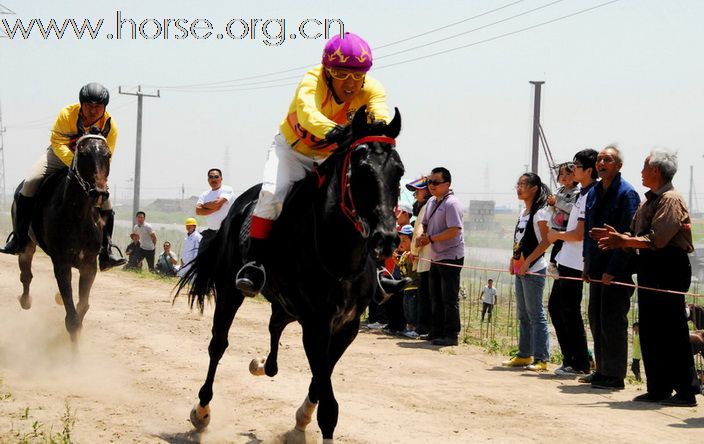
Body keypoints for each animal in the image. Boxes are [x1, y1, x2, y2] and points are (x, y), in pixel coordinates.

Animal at [14, 126, 113, 342]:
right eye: (82, 154)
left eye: (108, 154)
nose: (99, 192)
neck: (78, 215)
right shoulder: (61, 263)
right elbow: (73, 319)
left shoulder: (89, 265)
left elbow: (82, 306)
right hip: (27, 244)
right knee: (26, 274)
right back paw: (25, 300)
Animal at [179, 106, 404, 440]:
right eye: (362, 170)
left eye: (399, 172)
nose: (386, 239)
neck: (341, 258)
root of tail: (235, 208)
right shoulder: (316, 325)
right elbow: (329, 405)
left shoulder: (346, 326)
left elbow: (320, 384)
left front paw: (301, 420)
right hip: (231, 290)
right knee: (218, 343)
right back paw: (203, 411)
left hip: (284, 302)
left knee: (275, 325)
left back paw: (262, 364)